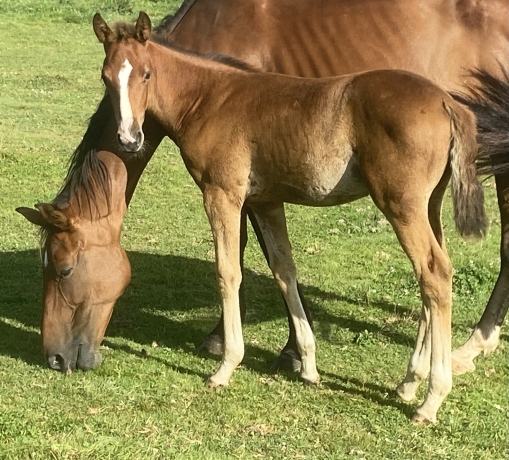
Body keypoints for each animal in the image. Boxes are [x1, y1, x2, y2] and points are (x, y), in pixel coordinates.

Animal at [17, 0, 506, 378]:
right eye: (104, 77)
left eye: (62, 268)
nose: (56, 357)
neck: (212, 95)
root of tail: (445, 101)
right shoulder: (266, 198)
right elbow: (282, 268)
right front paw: (304, 361)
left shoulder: (224, 193)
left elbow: (229, 268)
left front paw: (226, 358)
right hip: (430, 205)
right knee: (435, 274)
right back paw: (415, 378)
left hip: (407, 204)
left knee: (437, 273)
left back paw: (441, 383)